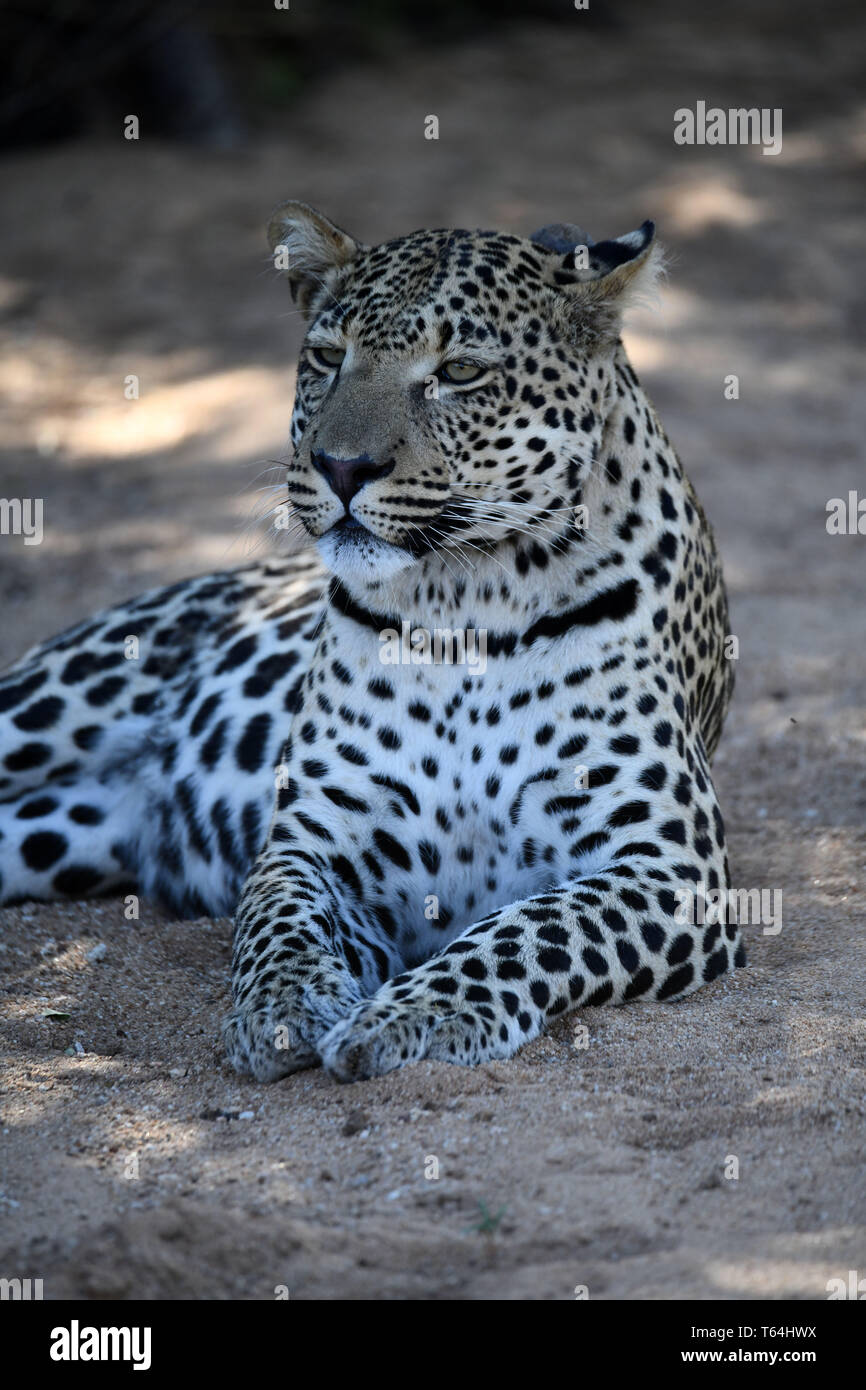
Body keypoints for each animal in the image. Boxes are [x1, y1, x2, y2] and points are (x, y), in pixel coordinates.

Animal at [0, 201, 743, 1082]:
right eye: (327, 358)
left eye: (460, 372)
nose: (340, 466)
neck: (467, 605)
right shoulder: (313, 840)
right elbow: (280, 922)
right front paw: (283, 1008)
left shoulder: (671, 865)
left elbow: (532, 930)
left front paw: (414, 1013)